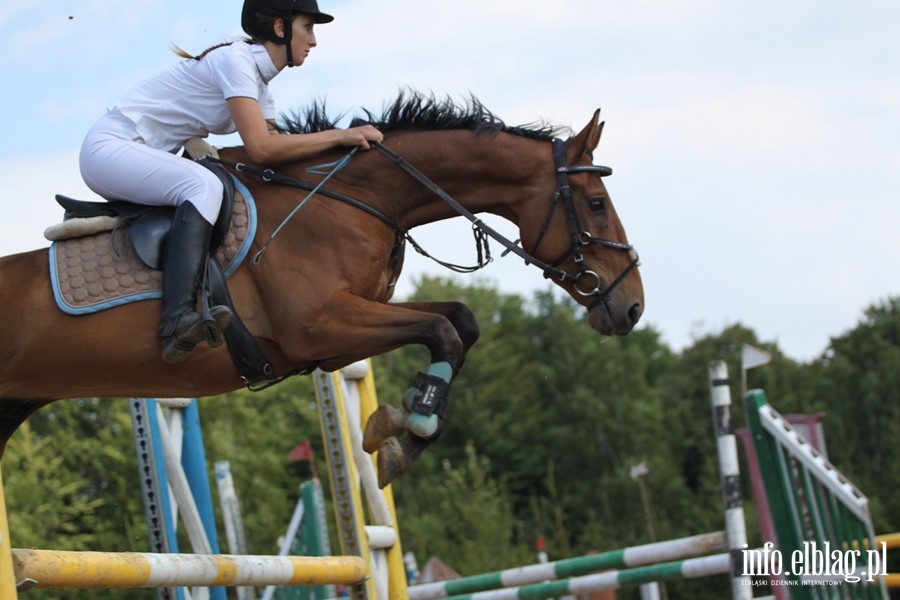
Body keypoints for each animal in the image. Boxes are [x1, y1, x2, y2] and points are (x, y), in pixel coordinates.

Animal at [0, 95, 640, 488]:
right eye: (595, 204)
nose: (632, 307)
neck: (354, 198)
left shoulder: (338, 338)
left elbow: (460, 322)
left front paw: (402, 425)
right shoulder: (318, 326)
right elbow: (443, 330)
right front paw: (407, 430)